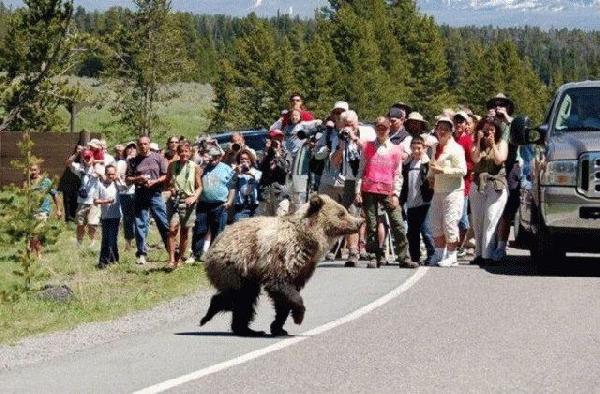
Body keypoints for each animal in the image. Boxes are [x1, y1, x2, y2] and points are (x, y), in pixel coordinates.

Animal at [199, 194, 364, 336]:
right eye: (341, 213)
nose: (359, 221)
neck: (309, 239)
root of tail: (216, 240)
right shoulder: (283, 257)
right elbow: (281, 286)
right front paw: (298, 317)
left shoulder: (303, 267)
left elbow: (285, 299)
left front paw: (278, 327)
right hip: (235, 265)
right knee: (241, 295)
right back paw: (212, 314)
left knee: (244, 298)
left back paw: (246, 328)